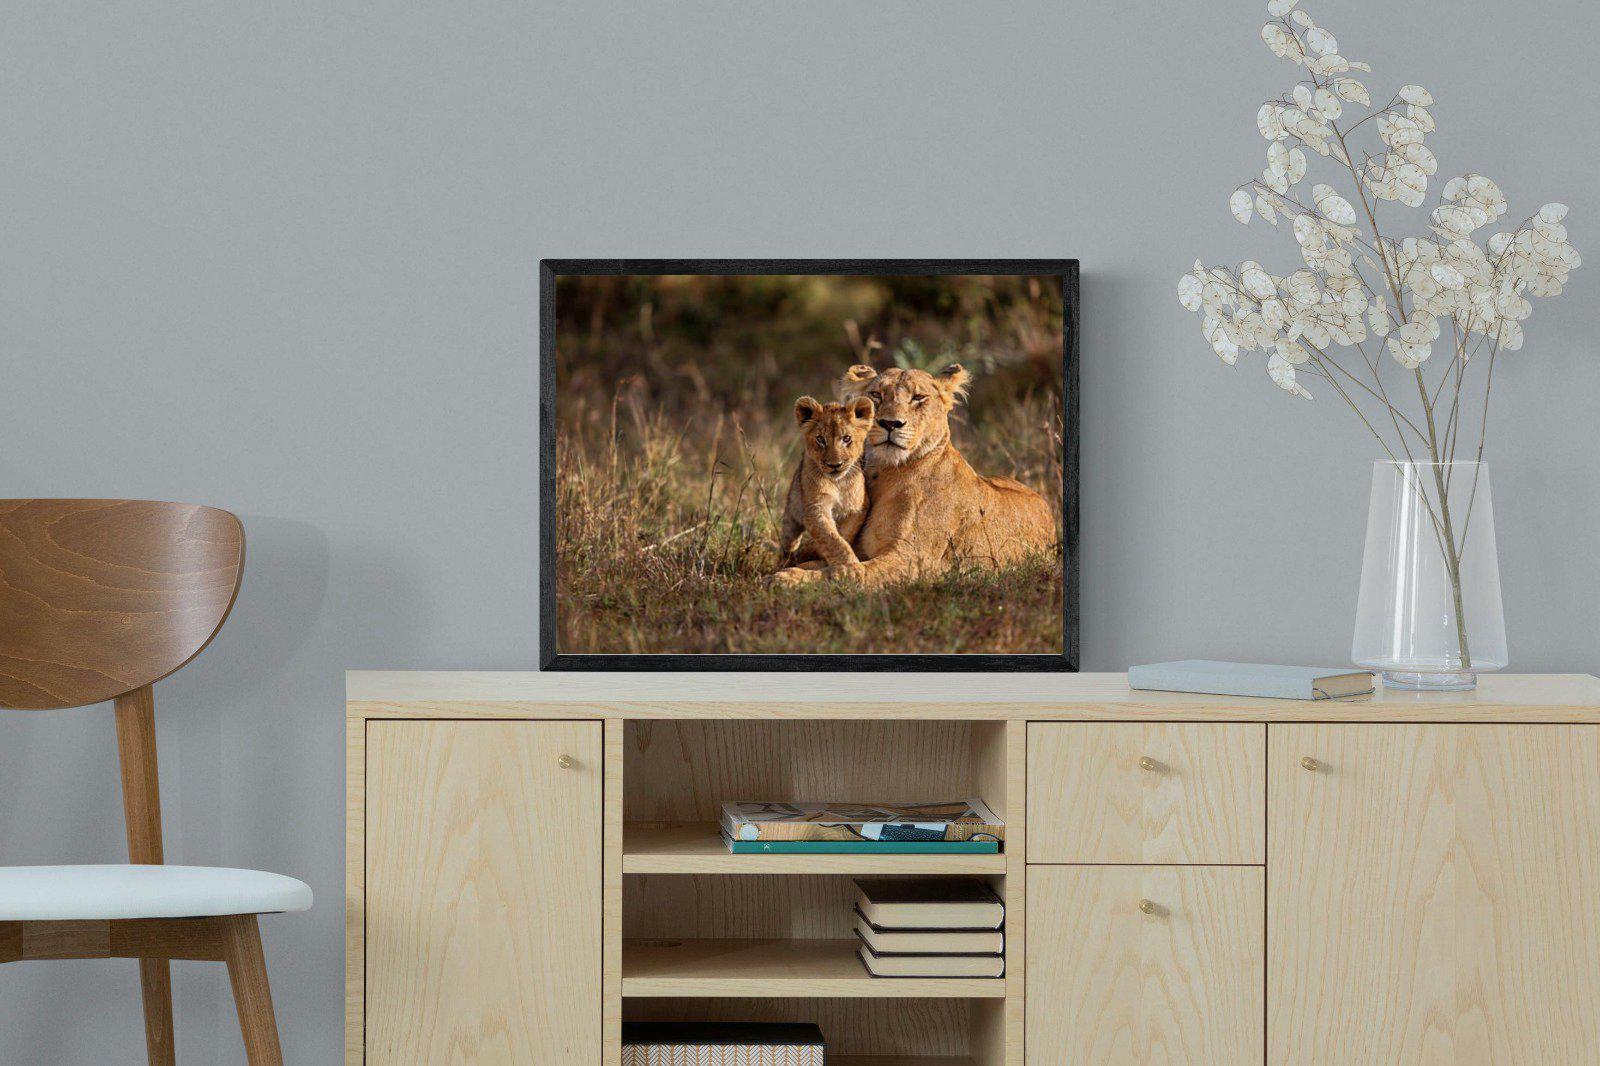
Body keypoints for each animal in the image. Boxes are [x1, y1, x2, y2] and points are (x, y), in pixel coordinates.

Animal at [776, 395, 875, 568]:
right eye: (820, 439)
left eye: (846, 438)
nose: (835, 465)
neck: (838, 483)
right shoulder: (815, 507)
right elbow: (831, 538)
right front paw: (850, 566)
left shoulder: (858, 508)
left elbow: (843, 534)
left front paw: (816, 551)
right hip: (791, 515)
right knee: (788, 544)